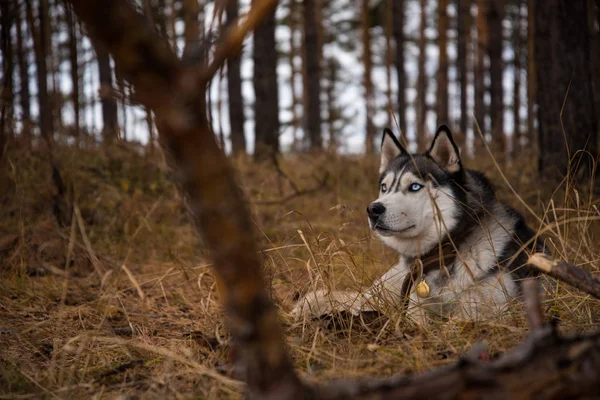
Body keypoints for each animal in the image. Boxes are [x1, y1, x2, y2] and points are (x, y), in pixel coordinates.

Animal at [292, 126, 548, 324]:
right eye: (384, 187)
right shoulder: (410, 306)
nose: (373, 209)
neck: (443, 253)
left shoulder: (484, 309)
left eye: (414, 186)